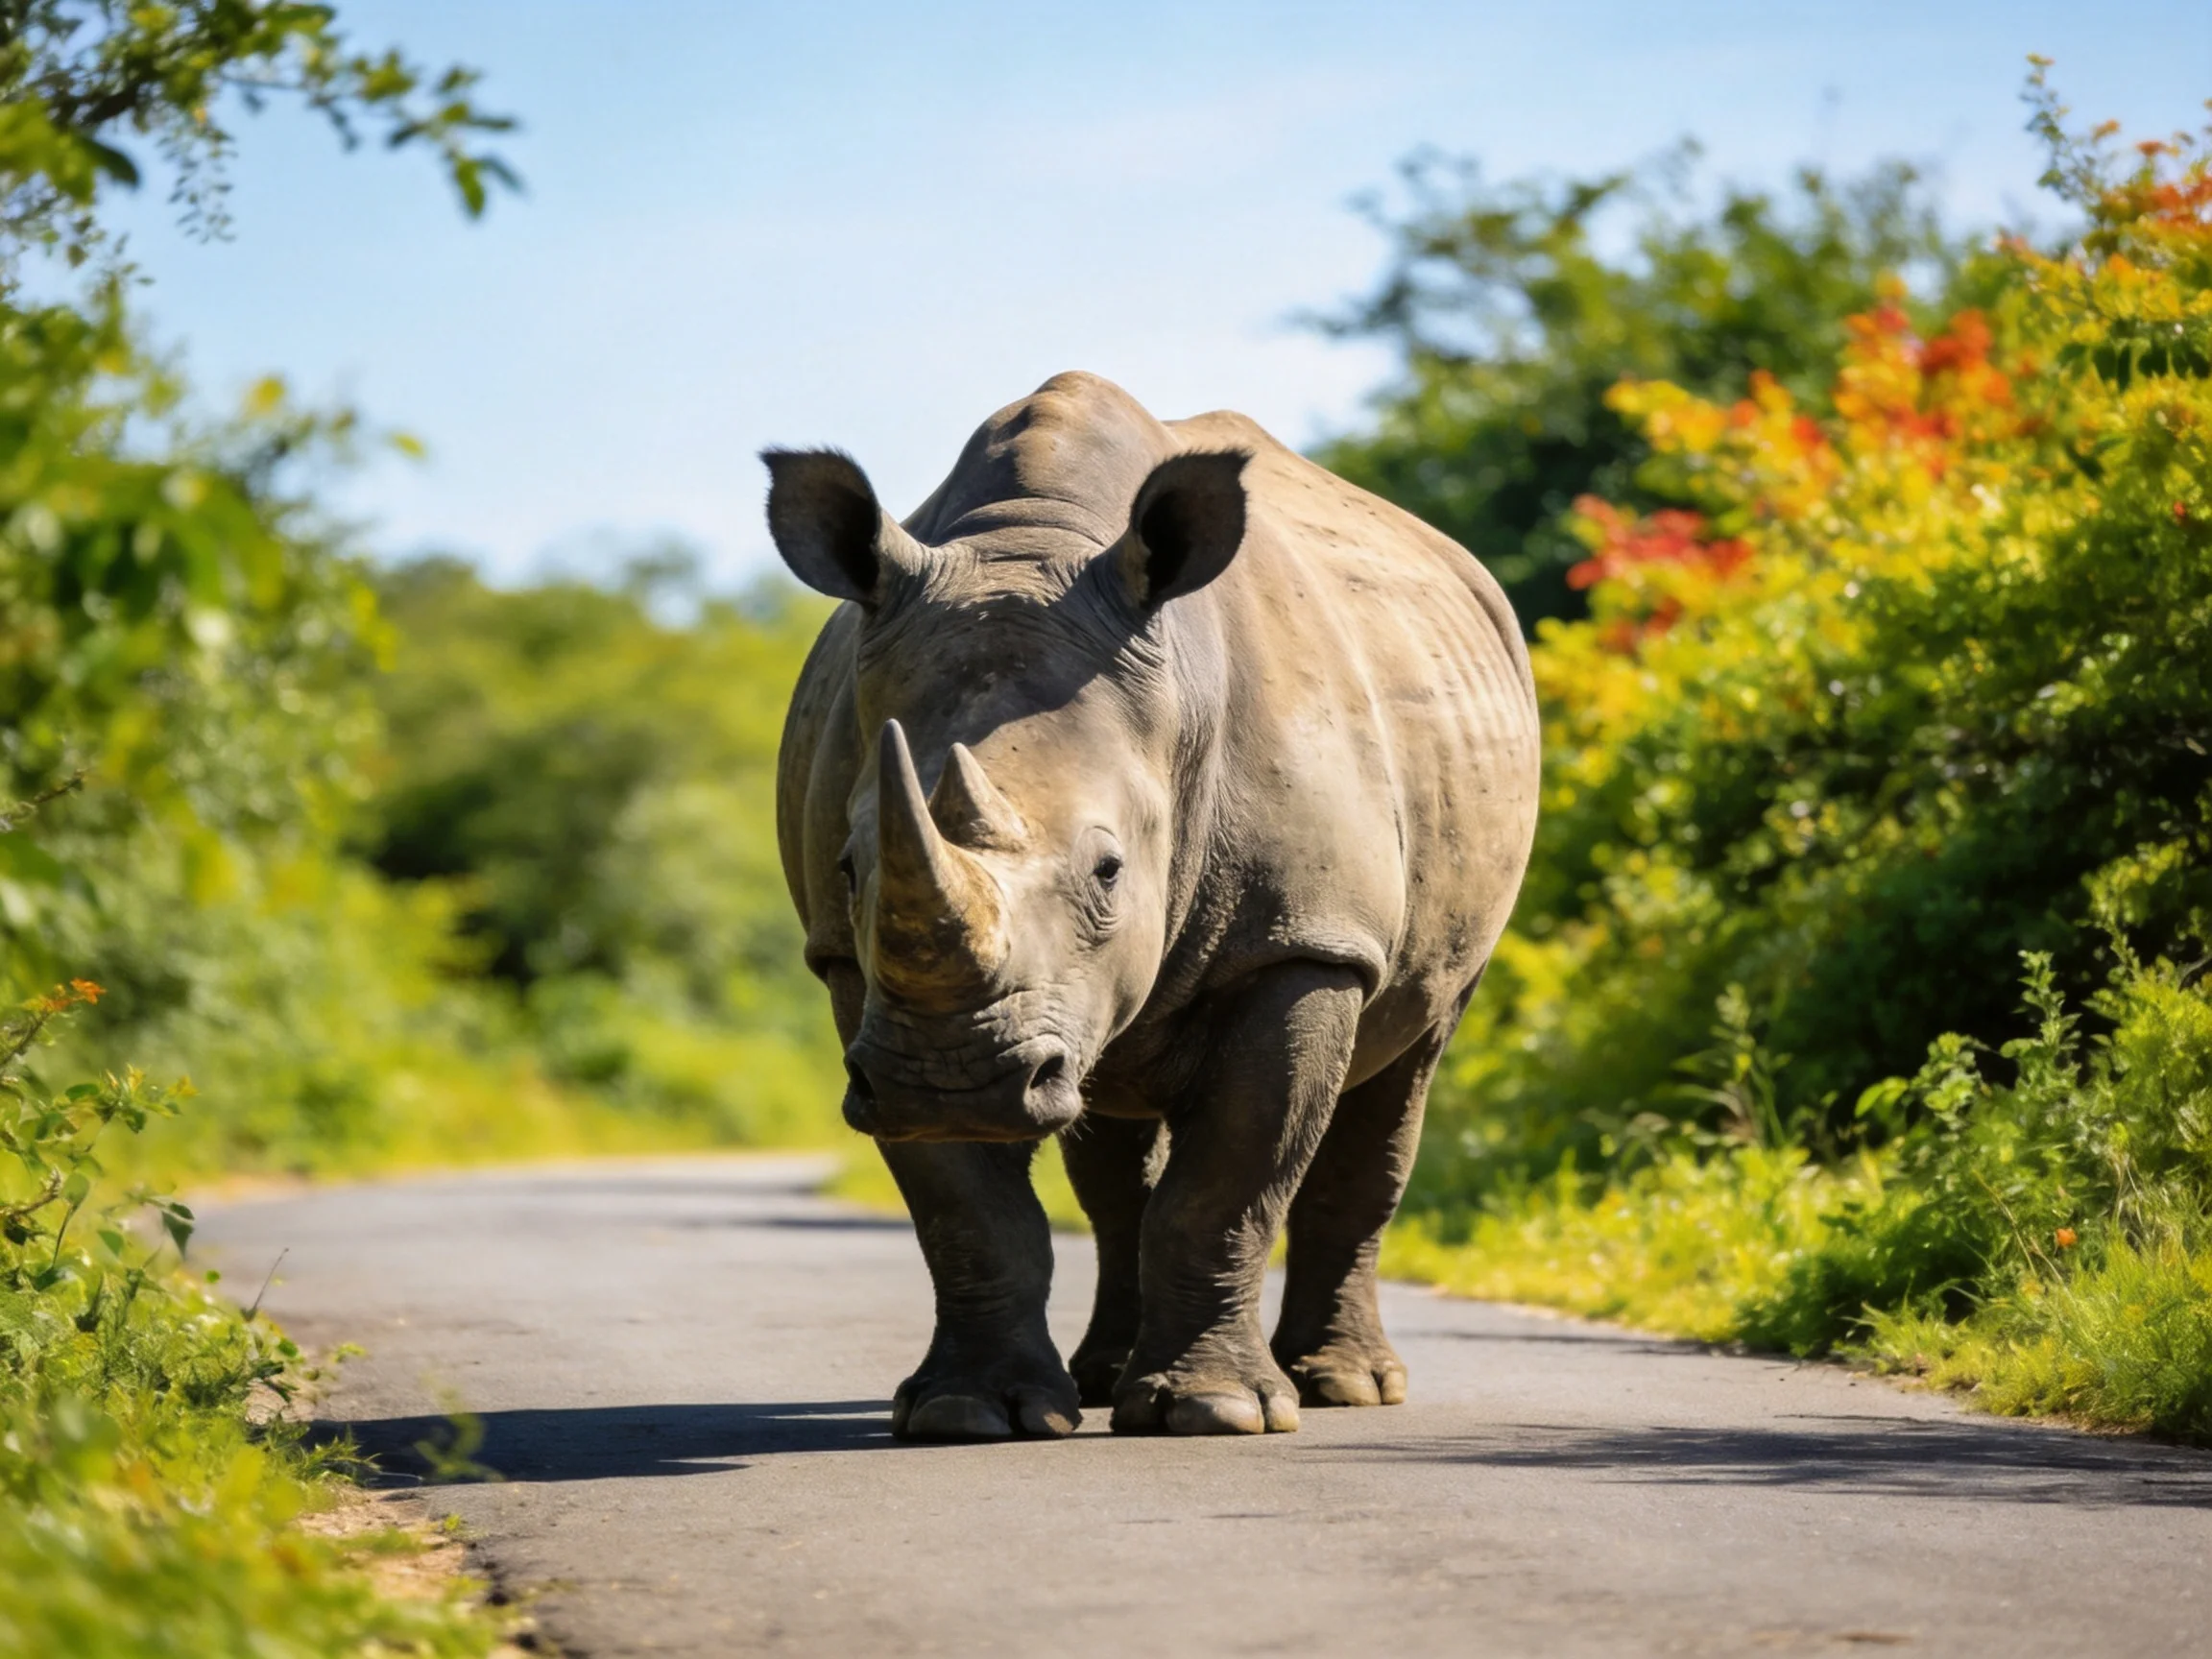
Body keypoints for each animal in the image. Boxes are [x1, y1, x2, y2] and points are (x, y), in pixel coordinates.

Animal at [769, 372, 1538, 1438]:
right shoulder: (858, 971)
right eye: (849, 868)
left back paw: (1345, 1388)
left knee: (1405, 1068)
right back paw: (1104, 1379)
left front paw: (1216, 1411)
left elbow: (1228, 1184)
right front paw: (968, 1413)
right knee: (1109, 1138)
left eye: (1109, 871)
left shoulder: (1301, 943)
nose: (954, 1082)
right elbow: (966, 1210)